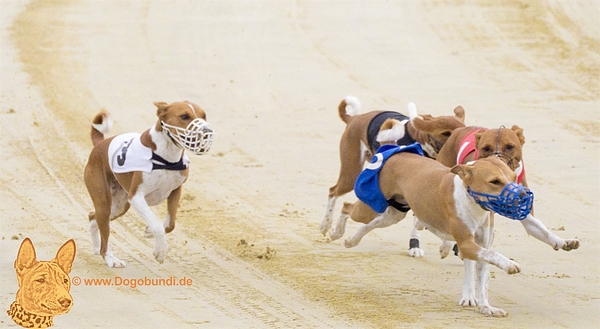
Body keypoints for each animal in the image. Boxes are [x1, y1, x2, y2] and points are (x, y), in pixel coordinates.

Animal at [83, 100, 214, 266]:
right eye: (184, 116)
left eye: (204, 116)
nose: (207, 131)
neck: (166, 159)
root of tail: (100, 144)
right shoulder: (136, 197)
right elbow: (157, 225)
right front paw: (160, 251)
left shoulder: (175, 191)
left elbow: (170, 224)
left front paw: (149, 231)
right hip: (104, 202)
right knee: (104, 236)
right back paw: (111, 259)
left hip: (119, 206)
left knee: (93, 217)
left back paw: (95, 246)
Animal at [318, 95, 464, 238]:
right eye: (445, 133)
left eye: (462, 127)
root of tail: (354, 118)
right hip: (350, 175)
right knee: (333, 192)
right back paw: (326, 225)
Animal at [406, 124, 580, 258]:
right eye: (486, 148)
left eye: (510, 146)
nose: (497, 161)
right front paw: (447, 245)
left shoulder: (522, 210)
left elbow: (541, 229)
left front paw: (564, 242)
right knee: (419, 218)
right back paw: (417, 245)